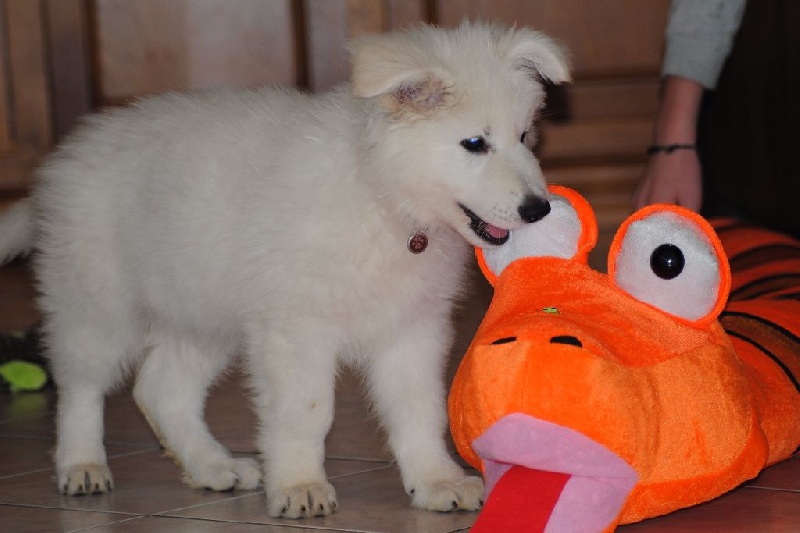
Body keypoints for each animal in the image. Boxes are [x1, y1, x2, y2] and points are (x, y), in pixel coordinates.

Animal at [0, 22, 569, 518]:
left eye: (524, 136)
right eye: (474, 144)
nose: (538, 209)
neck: (380, 195)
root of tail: (59, 167)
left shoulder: (411, 327)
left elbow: (419, 409)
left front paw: (436, 481)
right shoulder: (296, 330)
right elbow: (307, 413)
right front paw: (299, 486)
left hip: (201, 313)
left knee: (161, 390)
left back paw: (213, 467)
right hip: (96, 301)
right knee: (80, 384)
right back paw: (81, 465)